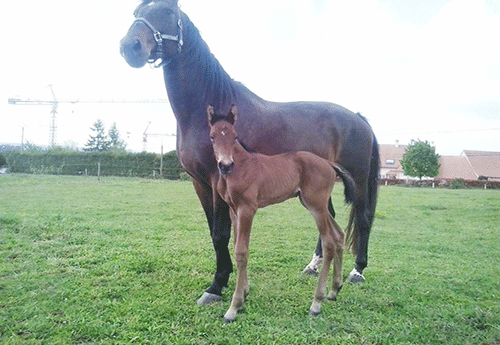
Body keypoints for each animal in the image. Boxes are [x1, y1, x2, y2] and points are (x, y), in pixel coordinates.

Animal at [121, 0, 378, 304]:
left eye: (167, 12)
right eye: (137, 13)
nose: (130, 46)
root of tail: (359, 118)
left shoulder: (216, 179)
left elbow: (221, 233)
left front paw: (216, 285)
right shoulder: (199, 183)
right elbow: (217, 233)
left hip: (358, 181)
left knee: (363, 218)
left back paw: (357, 271)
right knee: (328, 218)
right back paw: (312, 266)